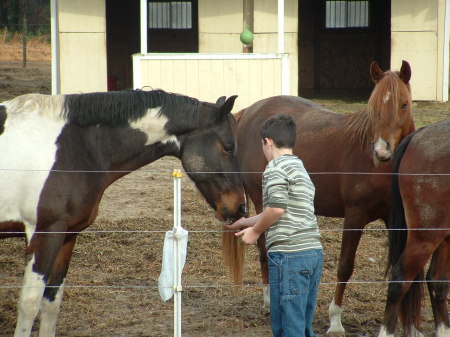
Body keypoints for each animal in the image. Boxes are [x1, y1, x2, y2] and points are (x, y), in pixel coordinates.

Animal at [0, 89, 246, 336]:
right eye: (228, 146)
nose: (241, 207)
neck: (75, 147)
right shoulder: (44, 234)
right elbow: (29, 304)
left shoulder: (66, 236)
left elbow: (51, 302)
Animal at [223, 59, 414, 334]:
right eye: (374, 107)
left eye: (404, 104)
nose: (381, 151)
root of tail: (249, 112)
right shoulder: (355, 215)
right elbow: (345, 266)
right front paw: (335, 321)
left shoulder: (393, 219)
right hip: (262, 201)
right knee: (263, 249)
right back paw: (269, 301)